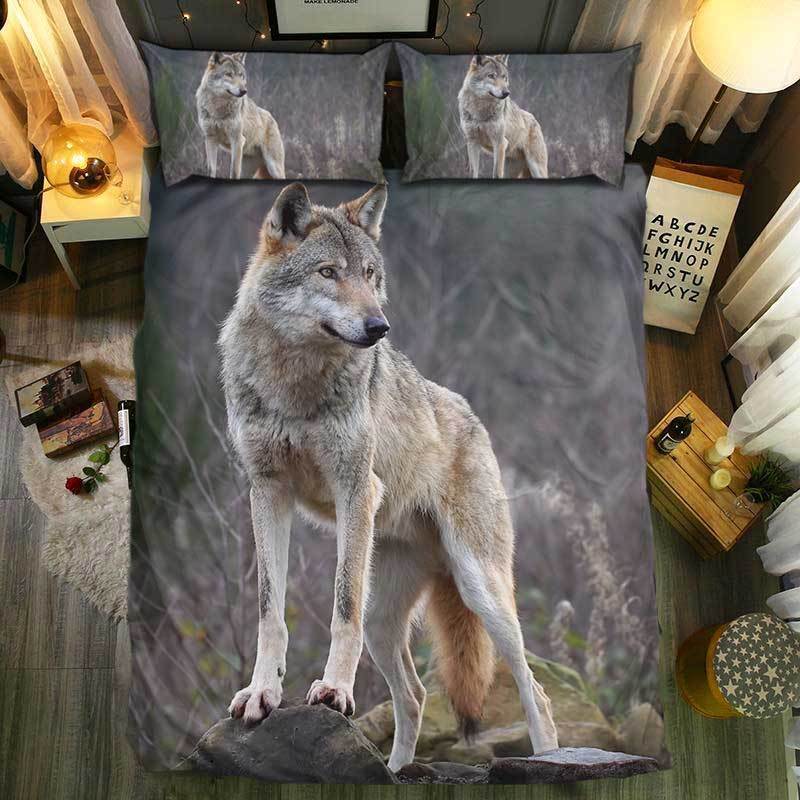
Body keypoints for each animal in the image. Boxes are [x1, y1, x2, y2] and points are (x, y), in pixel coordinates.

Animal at [196, 52, 285, 180]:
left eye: (241, 75)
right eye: (228, 74)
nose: (244, 91)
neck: (218, 108)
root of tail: (272, 118)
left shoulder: (237, 140)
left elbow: (234, 171)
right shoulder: (210, 139)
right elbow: (211, 169)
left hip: (275, 169)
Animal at [218, 182, 558, 771]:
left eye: (370, 274)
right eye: (328, 273)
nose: (380, 327)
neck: (294, 381)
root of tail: (474, 419)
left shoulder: (356, 487)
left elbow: (340, 609)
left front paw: (333, 690)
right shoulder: (266, 491)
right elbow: (269, 613)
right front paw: (262, 693)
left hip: (481, 591)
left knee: (534, 691)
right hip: (386, 621)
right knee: (416, 696)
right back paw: (395, 771)